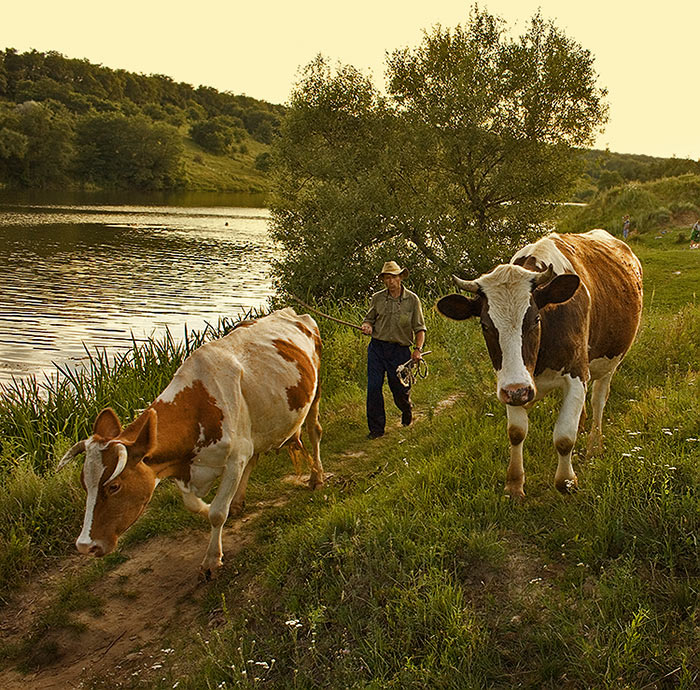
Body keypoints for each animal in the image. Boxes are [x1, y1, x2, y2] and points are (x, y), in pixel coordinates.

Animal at [57, 306, 326, 576]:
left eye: (114, 486)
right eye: (85, 484)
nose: (85, 546)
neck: (199, 405)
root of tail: (293, 312)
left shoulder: (235, 458)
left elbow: (218, 513)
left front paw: (212, 560)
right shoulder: (181, 464)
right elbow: (193, 504)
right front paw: (207, 507)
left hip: (315, 393)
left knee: (314, 430)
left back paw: (316, 477)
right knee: (256, 455)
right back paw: (238, 501)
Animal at [440, 228, 644, 498]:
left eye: (535, 319)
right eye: (485, 325)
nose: (518, 391)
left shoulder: (577, 374)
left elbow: (564, 437)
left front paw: (566, 482)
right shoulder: (512, 385)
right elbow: (516, 432)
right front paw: (514, 484)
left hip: (611, 362)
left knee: (599, 400)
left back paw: (594, 447)